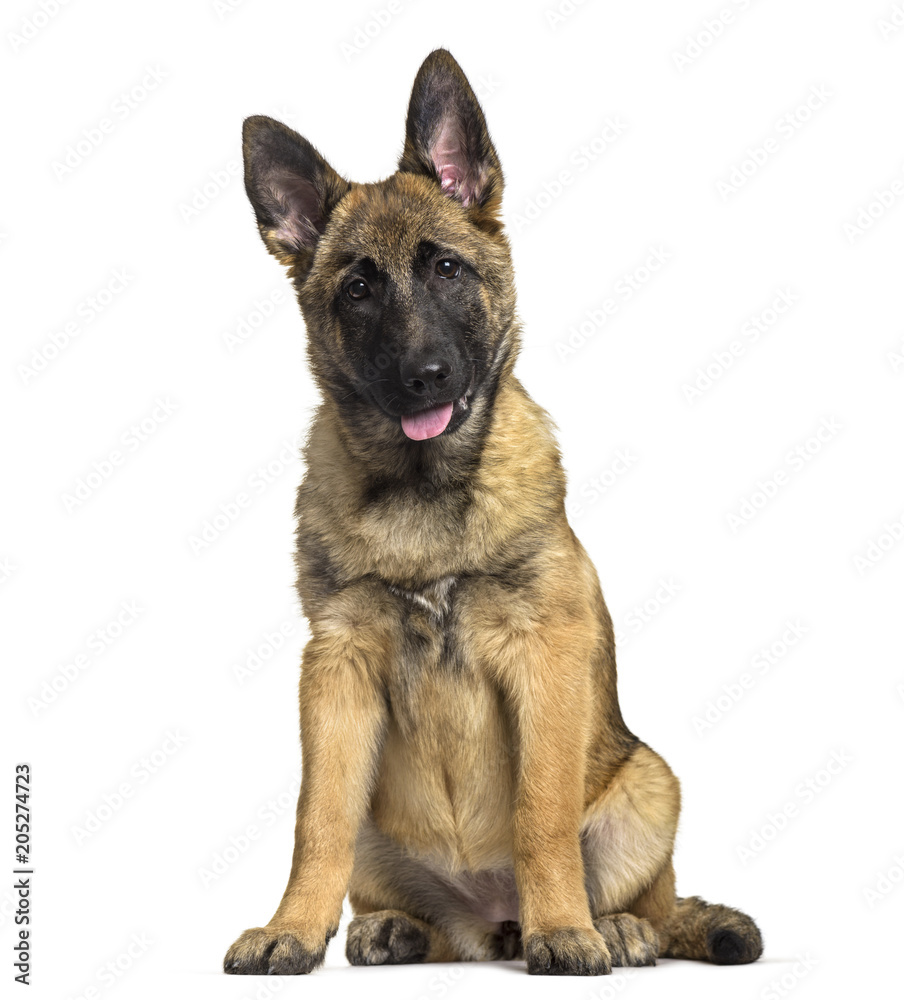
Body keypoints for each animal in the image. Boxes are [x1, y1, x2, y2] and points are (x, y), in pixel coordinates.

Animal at [222, 48, 760, 976]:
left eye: (446, 269)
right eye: (358, 289)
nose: (426, 376)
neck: (425, 491)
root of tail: (487, 915)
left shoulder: (542, 657)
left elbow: (541, 814)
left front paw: (566, 932)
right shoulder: (336, 670)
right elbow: (314, 821)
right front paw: (291, 928)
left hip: (649, 785)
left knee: (656, 901)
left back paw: (612, 927)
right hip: (384, 832)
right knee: (409, 902)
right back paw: (395, 928)